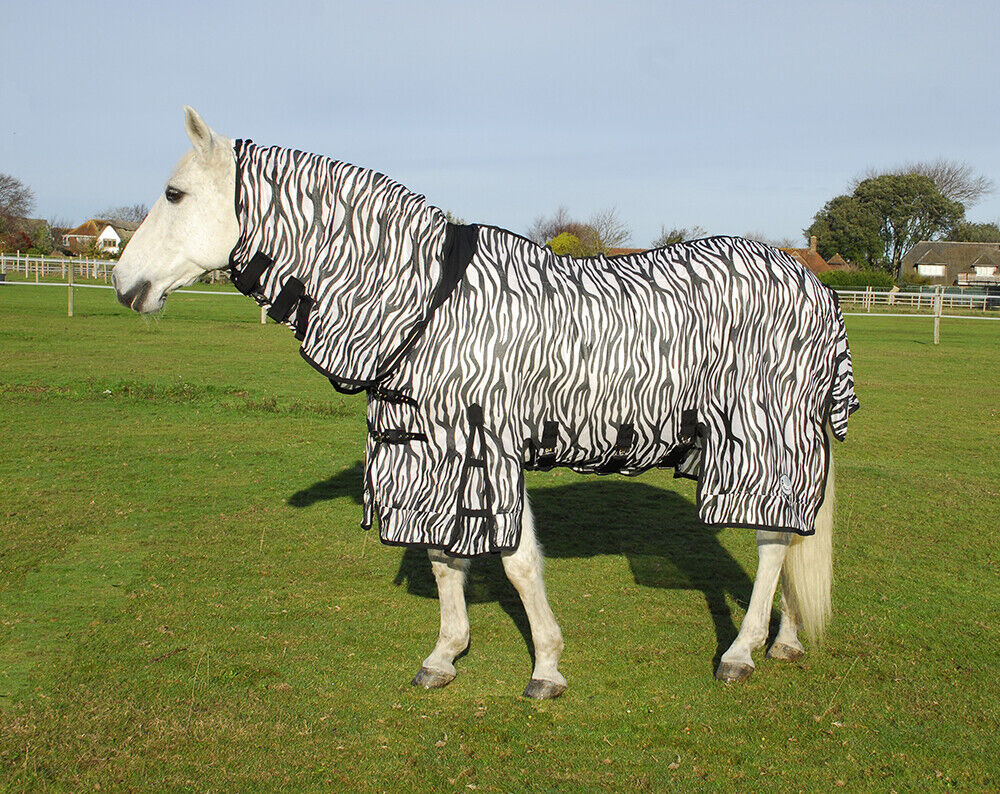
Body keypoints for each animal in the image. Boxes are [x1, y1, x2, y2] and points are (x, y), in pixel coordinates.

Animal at [112, 107, 857, 698]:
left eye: (174, 193)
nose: (123, 283)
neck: (425, 300)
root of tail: (810, 284)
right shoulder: (435, 452)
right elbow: (447, 560)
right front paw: (444, 656)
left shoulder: (484, 446)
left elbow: (518, 564)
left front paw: (547, 668)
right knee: (793, 536)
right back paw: (785, 640)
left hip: (762, 436)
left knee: (772, 541)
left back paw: (741, 652)